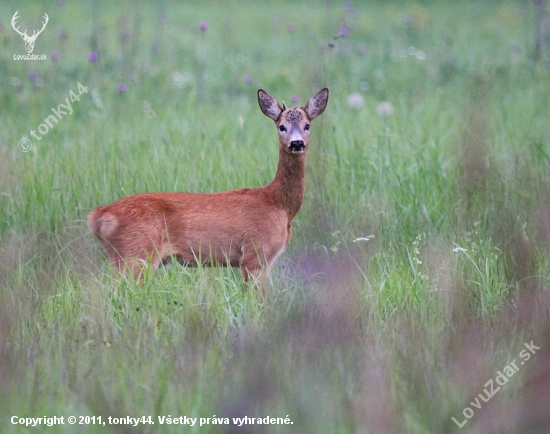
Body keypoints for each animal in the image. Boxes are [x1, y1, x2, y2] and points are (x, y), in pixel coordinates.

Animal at [88, 86, 330, 286]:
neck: (278, 204)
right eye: (281, 126)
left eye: (307, 125)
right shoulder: (255, 256)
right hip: (136, 255)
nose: (296, 143)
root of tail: (100, 215)